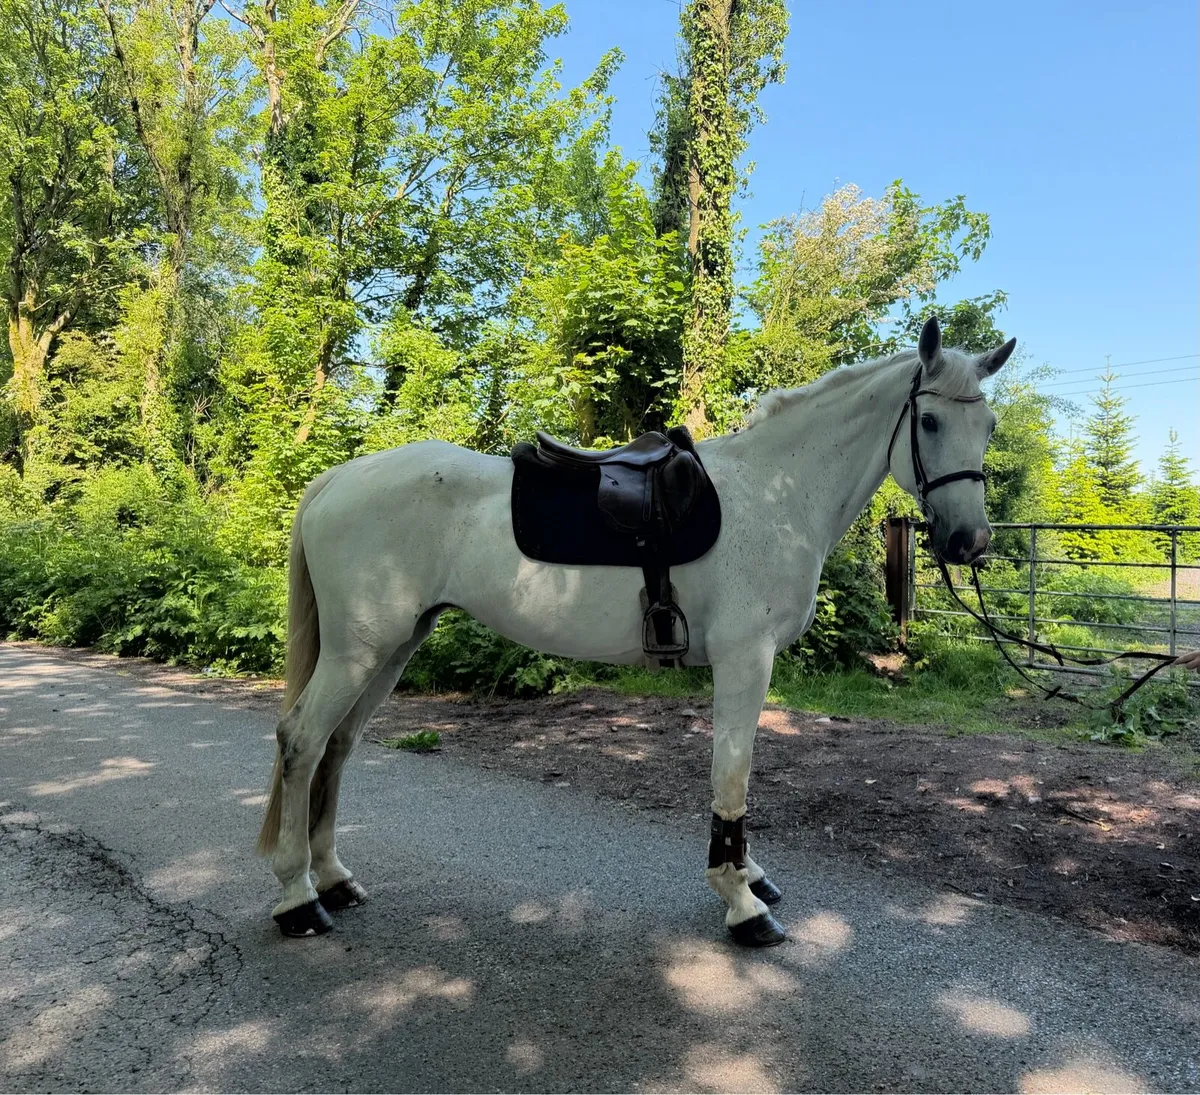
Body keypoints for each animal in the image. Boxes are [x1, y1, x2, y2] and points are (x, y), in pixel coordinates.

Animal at [256, 316, 1016, 945]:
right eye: (927, 421)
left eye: (988, 425)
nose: (970, 542)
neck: (777, 491)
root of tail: (335, 482)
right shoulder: (745, 660)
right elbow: (732, 772)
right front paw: (741, 901)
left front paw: (748, 875)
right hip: (359, 652)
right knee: (302, 740)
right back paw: (298, 899)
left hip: (389, 647)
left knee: (337, 747)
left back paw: (334, 880)